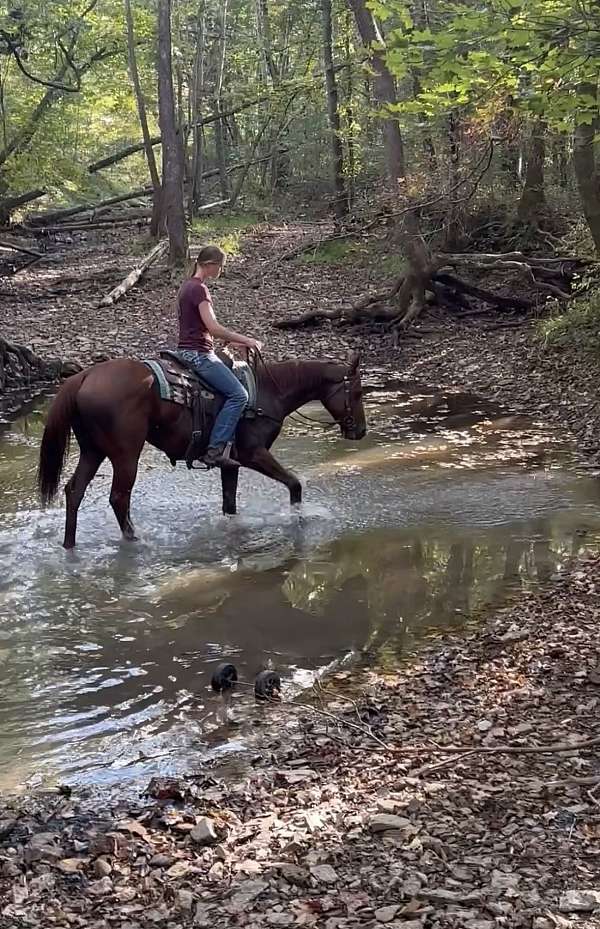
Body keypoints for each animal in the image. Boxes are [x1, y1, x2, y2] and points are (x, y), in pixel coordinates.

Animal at [38, 352, 366, 548]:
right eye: (358, 392)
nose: (361, 431)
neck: (268, 393)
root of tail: (83, 377)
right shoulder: (253, 454)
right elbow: (294, 483)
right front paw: (298, 518)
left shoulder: (231, 463)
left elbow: (229, 504)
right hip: (125, 454)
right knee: (119, 498)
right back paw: (134, 540)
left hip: (92, 451)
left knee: (74, 491)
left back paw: (69, 545)